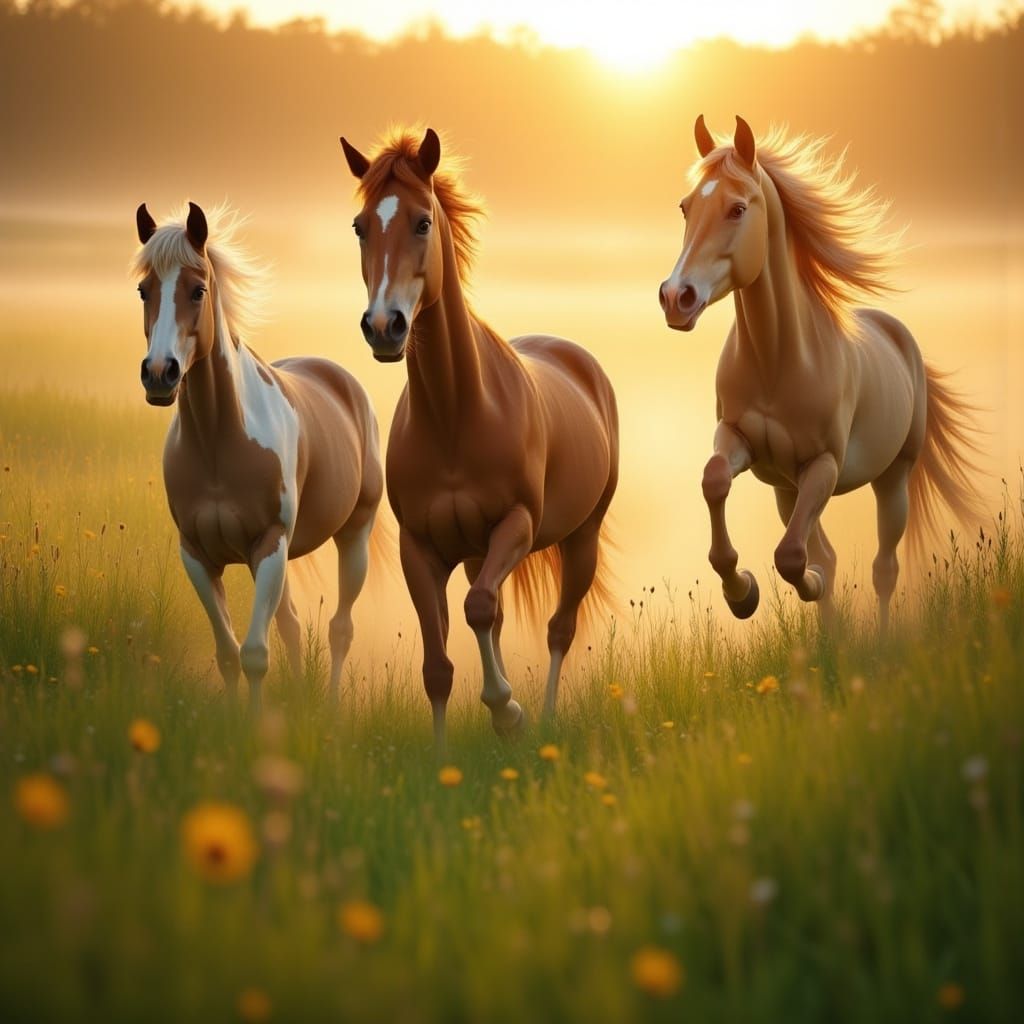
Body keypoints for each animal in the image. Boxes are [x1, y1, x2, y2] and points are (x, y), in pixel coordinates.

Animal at [131, 201, 383, 707]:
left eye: (198, 289)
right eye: (144, 289)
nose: (159, 373)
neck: (217, 443)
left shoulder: (268, 545)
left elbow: (254, 654)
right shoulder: (198, 556)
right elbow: (229, 652)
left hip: (352, 537)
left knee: (340, 629)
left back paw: (330, 707)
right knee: (292, 625)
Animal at [338, 128, 619, 749]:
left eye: (423, 222)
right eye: (360, 226)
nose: (384, 327)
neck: (455, 417)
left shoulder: (516, 525)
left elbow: (480, 607)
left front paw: (507, 710)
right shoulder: (420, 549)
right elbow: (439, 663)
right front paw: (446, 750)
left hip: (581, 537)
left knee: (559, 629)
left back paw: (543, 716)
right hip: (473, 552)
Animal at [659, 116, 981, 632]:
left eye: (737, 208)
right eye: (686, 207)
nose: (676, 297)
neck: (778, 361)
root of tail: (898, 334)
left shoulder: (823, 466)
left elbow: (792, 557)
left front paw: (795, 585)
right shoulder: (740, 442)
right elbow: (715, 481)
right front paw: (741, 592)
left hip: (892, 479)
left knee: (883, 568)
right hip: (786, 489)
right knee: (826, 551)